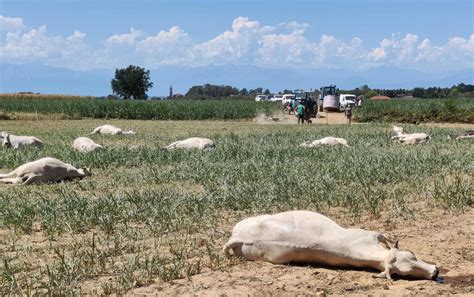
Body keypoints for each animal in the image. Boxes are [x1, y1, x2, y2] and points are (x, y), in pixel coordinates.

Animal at [224, 210, 438, 280]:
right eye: (404, 274)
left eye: (413, 254)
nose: (435, 272)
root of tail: (237, 236)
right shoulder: (369, 233)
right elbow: (384, 236)